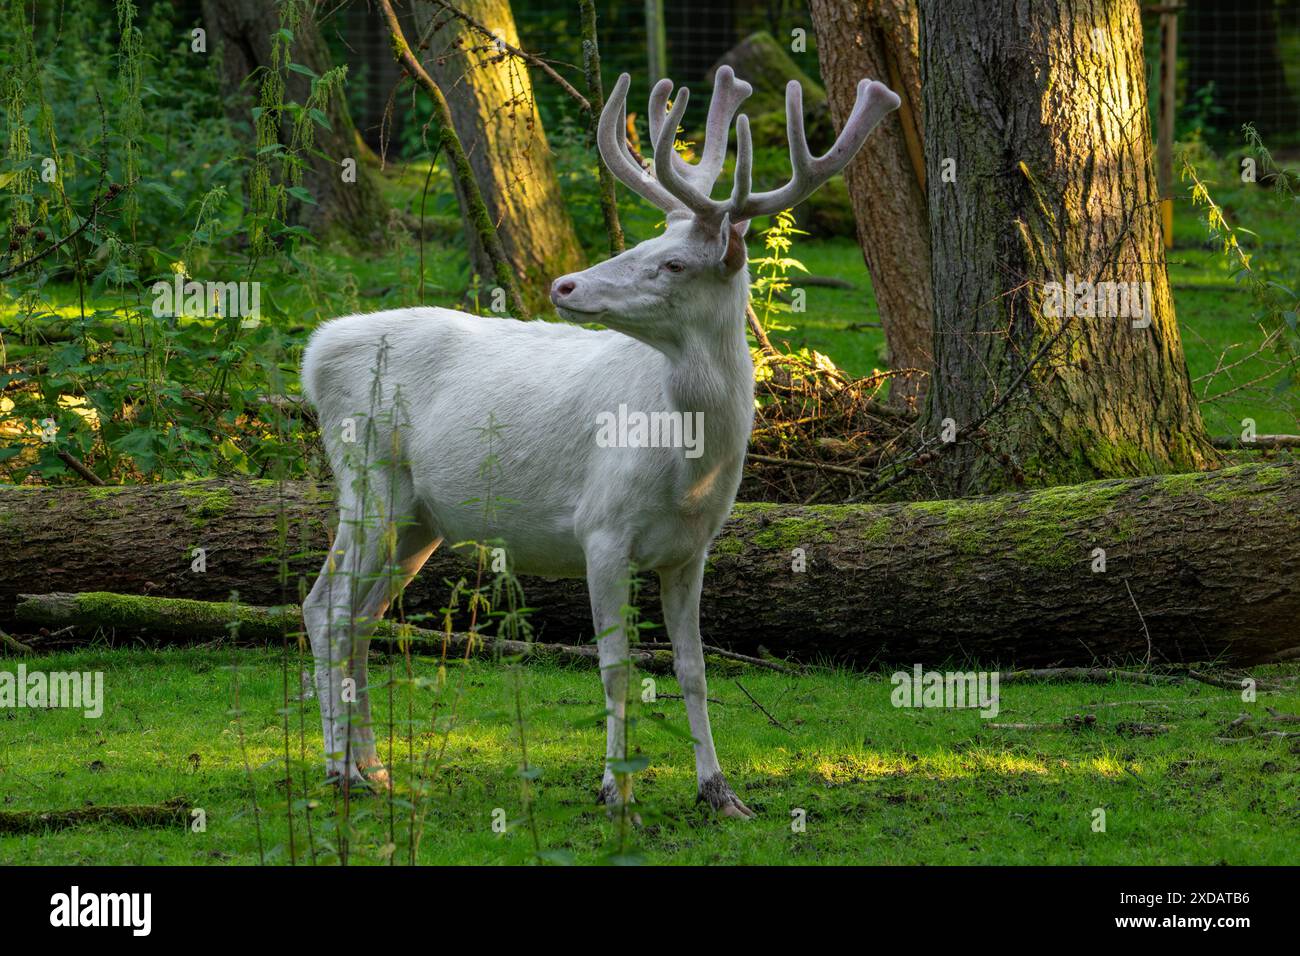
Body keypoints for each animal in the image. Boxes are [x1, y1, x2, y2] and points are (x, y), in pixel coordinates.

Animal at [300, 66, 900, 817]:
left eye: (672, 263)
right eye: (641, 246)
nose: (564, 283)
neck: (689, 466)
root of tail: (313, 353)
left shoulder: (692, 551)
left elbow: (694, 668)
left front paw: (720, 792)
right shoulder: (601, 531)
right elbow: (616, 667)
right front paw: (617, 788)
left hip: (419, 520)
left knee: (361, 618)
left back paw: (374, 768)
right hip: (367, 482)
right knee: (326, 608)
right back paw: (336, 771)